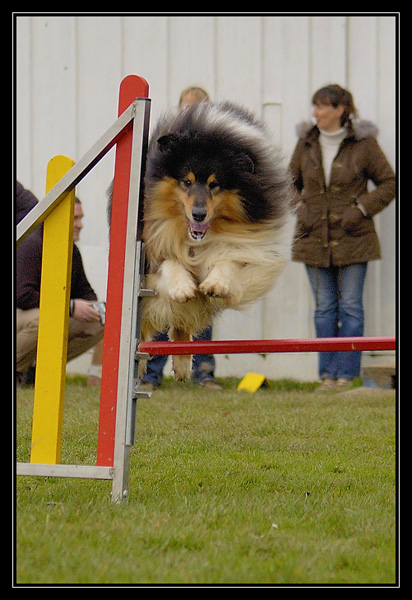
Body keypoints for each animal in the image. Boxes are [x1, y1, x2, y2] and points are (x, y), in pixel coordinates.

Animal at [135, 99, 290, 380]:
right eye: (186, 181)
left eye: (214, 184)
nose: (199, 214)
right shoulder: (151, 249)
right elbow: (170, 262)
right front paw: (183, 287)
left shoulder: (246, 245)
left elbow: (228, 258)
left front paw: (215, 284)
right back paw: (141, 364)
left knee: (181, 324)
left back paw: (182, 366)